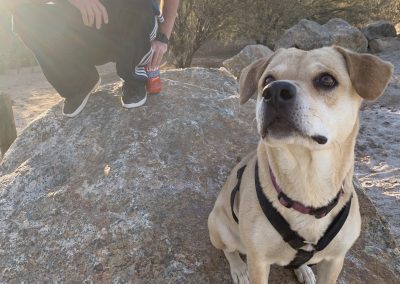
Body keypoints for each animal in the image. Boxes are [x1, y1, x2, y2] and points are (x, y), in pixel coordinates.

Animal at [209, 45, 394, 282]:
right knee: (228, 250)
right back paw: (239, 269)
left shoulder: (335, 261)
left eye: (327, 79)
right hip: (219, 228)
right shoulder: (258, 261)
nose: (274, 91)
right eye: (268, 79)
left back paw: (303, 268)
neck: (307, 178)